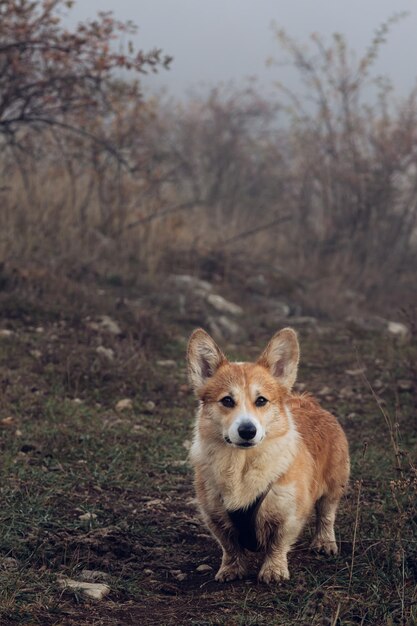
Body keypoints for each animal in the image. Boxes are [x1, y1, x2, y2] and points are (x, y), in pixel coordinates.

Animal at [187, 326, 350, 580]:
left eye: (261, 400)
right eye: (227, 400)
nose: (247, 431)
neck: (241, 464)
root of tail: (308, 400)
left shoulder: (289, 512)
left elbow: (278, 543)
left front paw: (273, 571)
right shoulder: (213, 514)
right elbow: (230, 546)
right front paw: (231, 569)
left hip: (335, 483)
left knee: (326, 514)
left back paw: (324, 542)